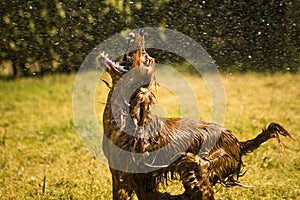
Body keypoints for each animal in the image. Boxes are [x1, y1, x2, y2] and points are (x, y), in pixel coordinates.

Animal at [98, 28, 290, 199]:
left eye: (146, 58)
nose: (140, 32)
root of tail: (237, 142)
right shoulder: (126, 177)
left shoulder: (127, 175)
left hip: (199, 163)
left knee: (198, 174)